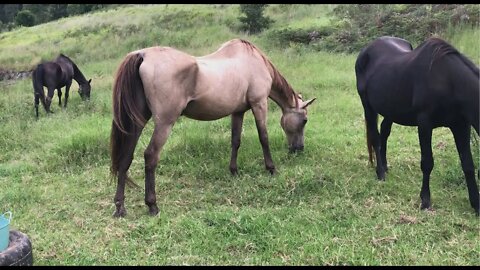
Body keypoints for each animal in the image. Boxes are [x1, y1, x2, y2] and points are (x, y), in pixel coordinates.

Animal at [110, 38, 316, 217]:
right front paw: (271, 169)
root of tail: (142, 54)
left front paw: (234, 171)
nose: (299, 148)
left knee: (126, 157)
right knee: (151, 156)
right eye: (305, 120)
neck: (255, 61)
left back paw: (120, 207)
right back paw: (152, 205)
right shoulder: (259, 104)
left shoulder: (238, 112)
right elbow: (263, 138)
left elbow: (235, 141)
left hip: (136, 123)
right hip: (164, 123)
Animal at [354, 35, 478, 214]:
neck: (449, 81)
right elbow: (427, 163)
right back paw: (380, 173)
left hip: (390, 108)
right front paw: (425, 200)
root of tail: (365, 51)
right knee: (376, 138)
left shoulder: (461, 125)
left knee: (384, 132)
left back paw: (385, 166)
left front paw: (476, 203)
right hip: (368, 106)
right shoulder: (424, 124)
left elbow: (468, 164)